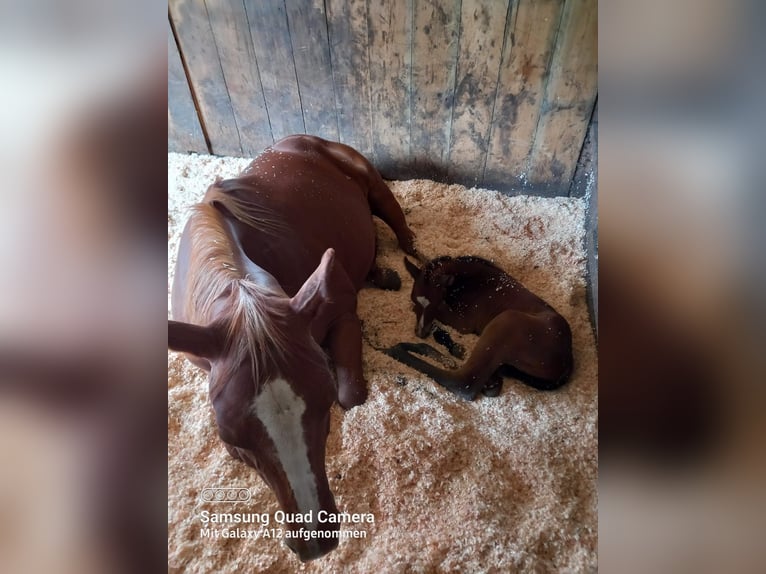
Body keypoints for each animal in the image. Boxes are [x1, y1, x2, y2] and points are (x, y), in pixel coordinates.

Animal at [168, 135, 417, 561]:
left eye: (325, 404)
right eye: (231, 442)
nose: (315, 538)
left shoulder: (341, 311)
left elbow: (352, 394)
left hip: (376, 188)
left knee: (401, 229)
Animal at [384, 256, 572, 400]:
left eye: (435, 304)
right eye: (413, 298)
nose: (420, 333)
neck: (470, 282)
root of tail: (567, 362)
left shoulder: (463, 322)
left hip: (506, 321)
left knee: (464, 382)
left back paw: (397, 350)